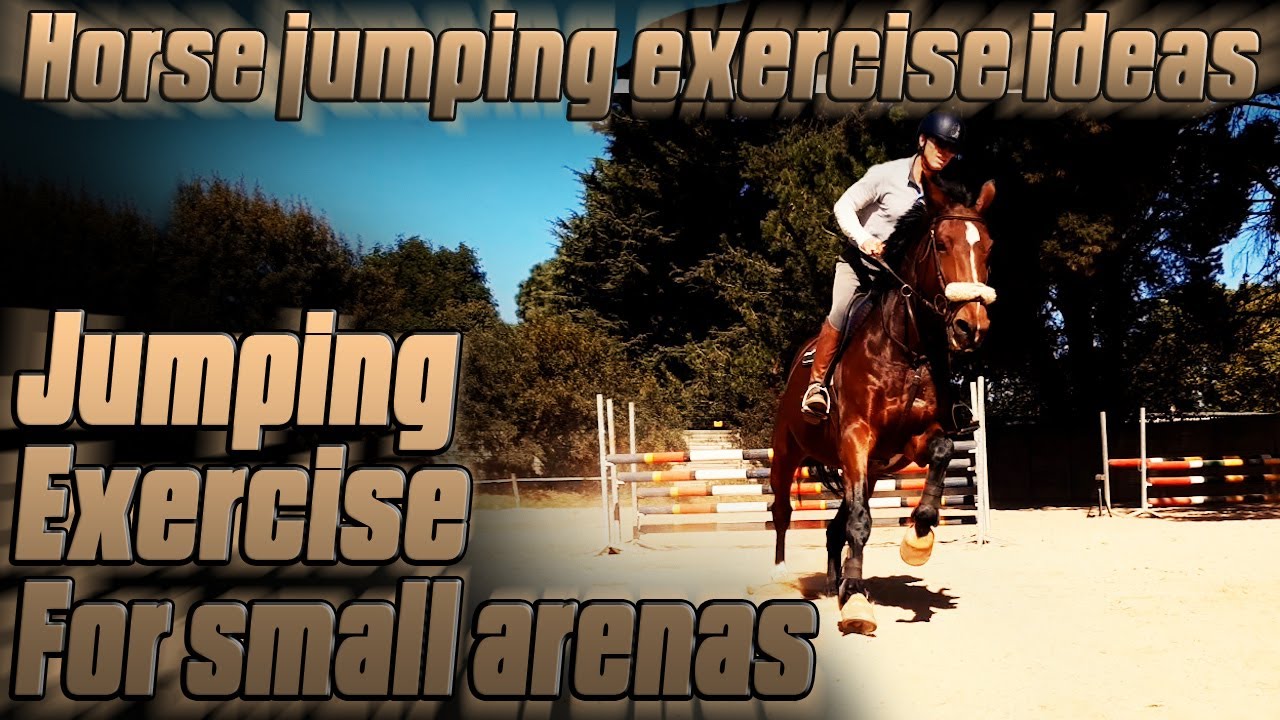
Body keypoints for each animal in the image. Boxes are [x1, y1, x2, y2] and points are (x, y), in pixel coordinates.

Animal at [769, 172, 996, 635]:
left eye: (988, 247)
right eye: (941, 244)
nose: (972, 327)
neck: (907, 349)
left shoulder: (912, 441)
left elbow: (943, 450)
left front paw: (918, 539)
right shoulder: (857, 437)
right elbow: (860, 523)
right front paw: (858, 604)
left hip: (870, 472)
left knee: (834, 527)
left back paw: (836, 583)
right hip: (788, 452)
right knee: (783, 510)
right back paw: (784, 575)